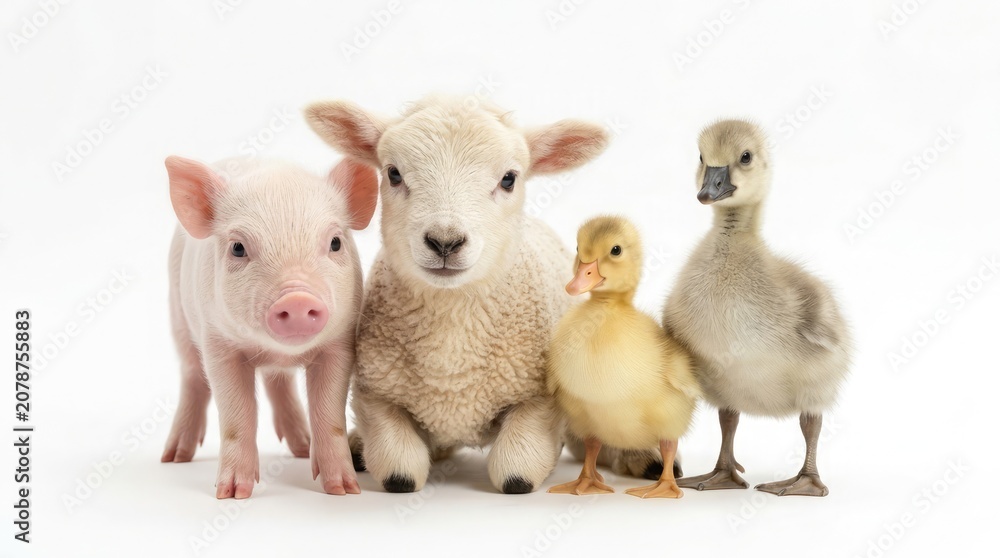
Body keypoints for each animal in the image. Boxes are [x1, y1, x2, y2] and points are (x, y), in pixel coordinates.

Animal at [160, 155, 377, 499]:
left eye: (335, 242)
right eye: (237, 247)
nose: (298, 298)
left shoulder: (340, 342)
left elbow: (329, 412)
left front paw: (344, 490)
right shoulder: (218, 343)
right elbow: (237, 413)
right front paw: (232, 494)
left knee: (279, 382)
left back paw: (300, 447)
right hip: (178, 314)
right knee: (192, 376)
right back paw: (174, 457)